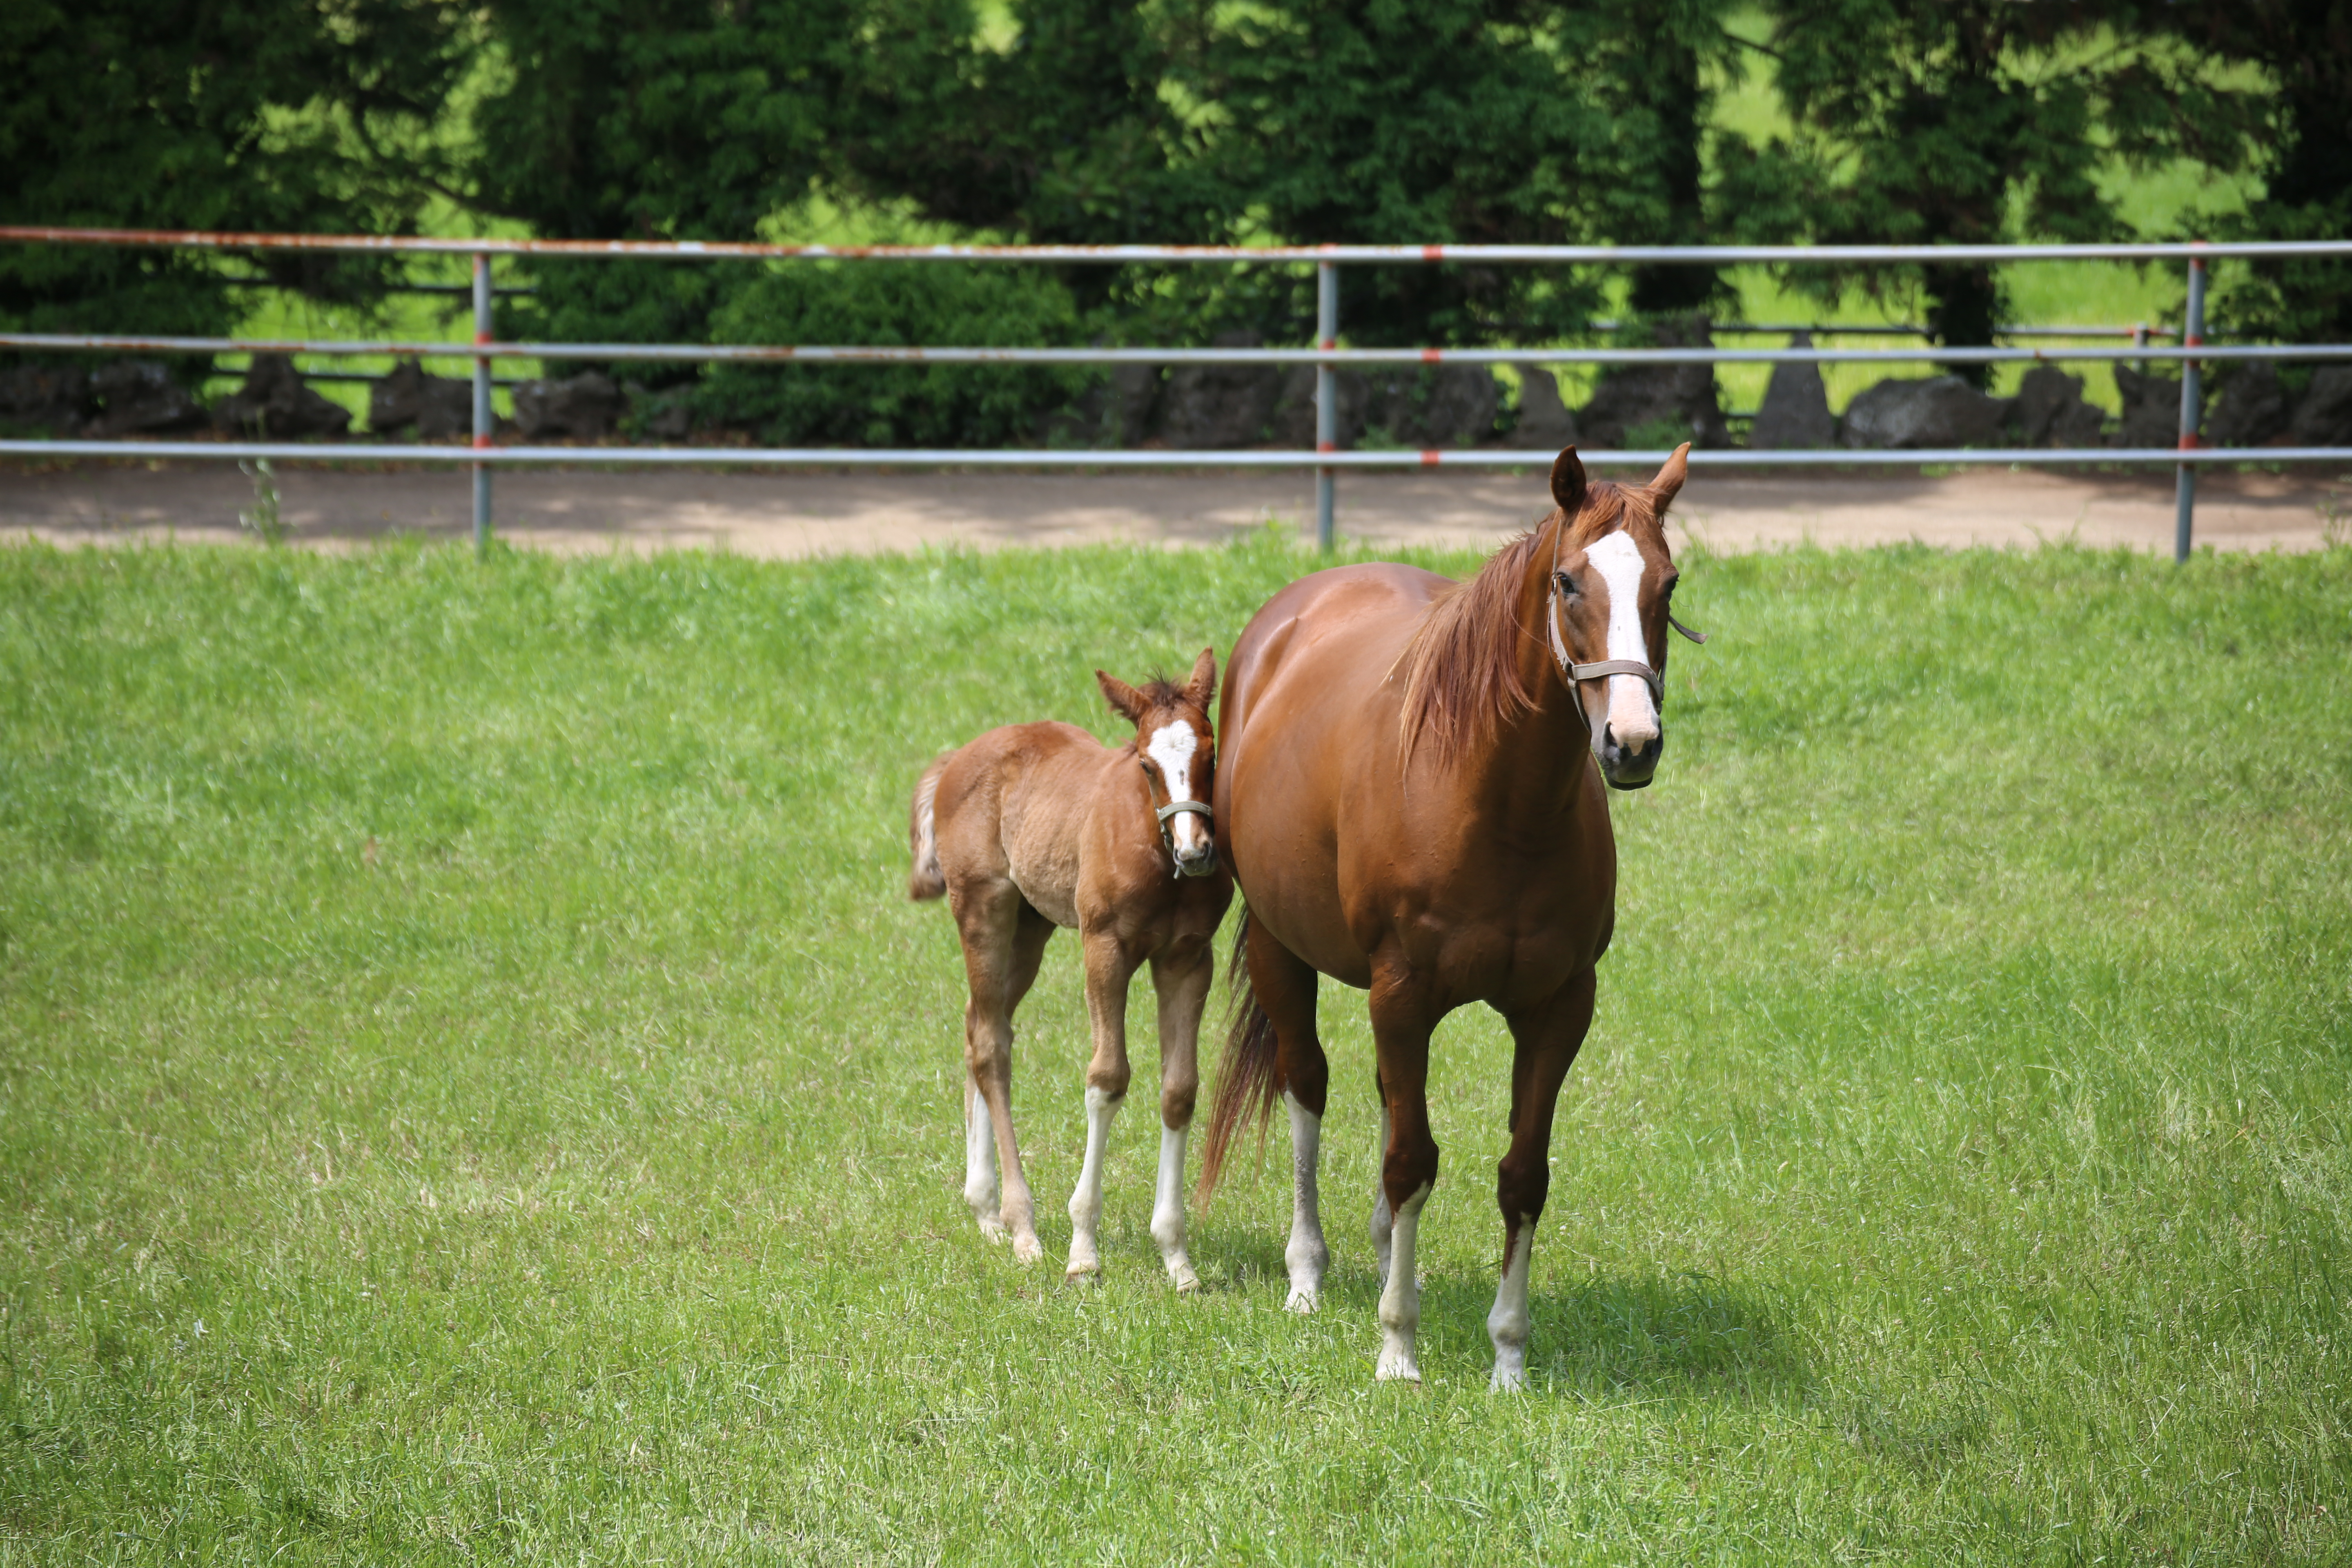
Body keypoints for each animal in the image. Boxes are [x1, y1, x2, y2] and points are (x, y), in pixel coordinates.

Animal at [908, 648, 1232, 1288]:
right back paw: (1022, 1227)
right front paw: (1084, 1252)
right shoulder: (1104, 947)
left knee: (978, 1024)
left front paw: (1177, 1259)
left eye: (1210, 753)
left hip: (1031, 926)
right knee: (991, 1045)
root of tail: (958, 758)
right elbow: (1107, 1079)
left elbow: (1179, 1089)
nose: (1196, 852)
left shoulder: (1188, 957)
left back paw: (985, 1210)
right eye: (1145, 764)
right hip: (984, 907)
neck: (1154, 851)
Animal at [1204, 446, 1703, 1392]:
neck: (1498, 803)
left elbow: (1521, 1173)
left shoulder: (1559, 1008)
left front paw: (1508, 1355)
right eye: (1569, 582)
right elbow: (1411, 1162)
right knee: (1307, 1086)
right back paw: (1308, 1273)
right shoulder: (1402, 994)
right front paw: (1398, 1348)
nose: (1632, 743)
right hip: (1286, 955)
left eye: (1668, 584)